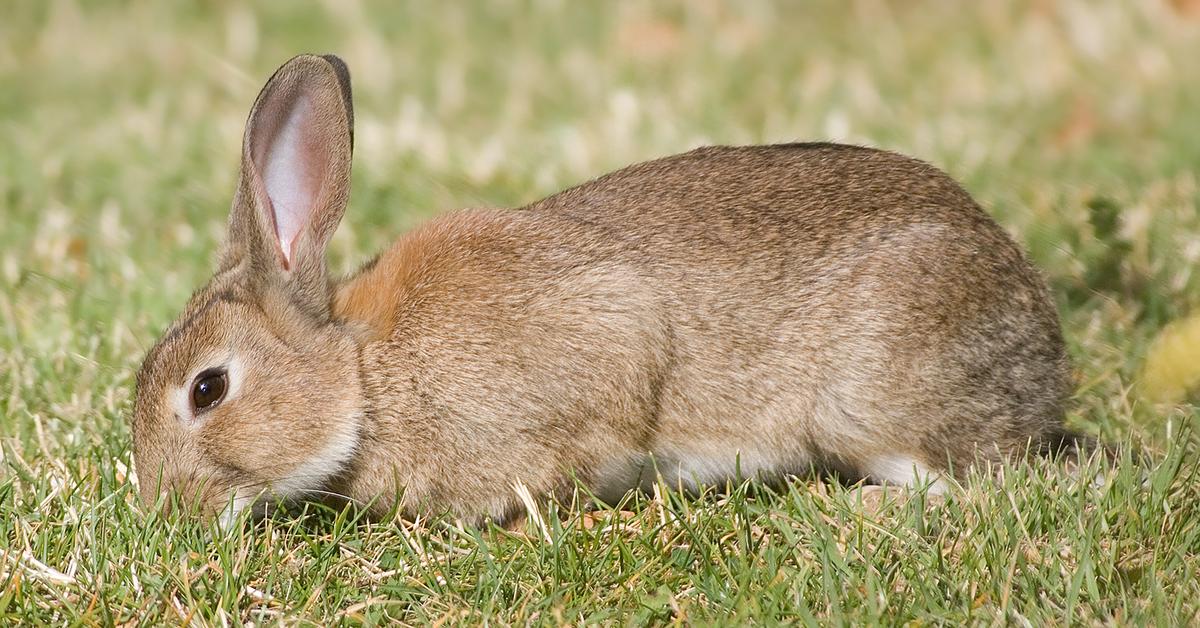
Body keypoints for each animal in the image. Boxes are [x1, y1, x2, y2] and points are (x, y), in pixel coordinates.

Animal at [131, 52, 1080, 525]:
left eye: (207, 390)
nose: (166, 512)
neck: (364, 379)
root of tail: (1043, 348)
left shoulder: (606, 345)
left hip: (871, 397)